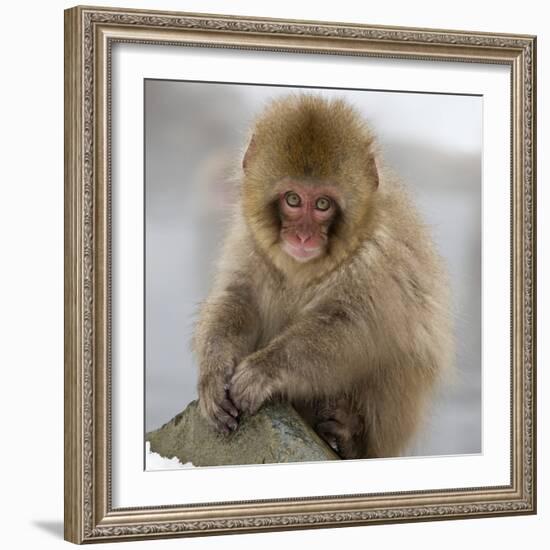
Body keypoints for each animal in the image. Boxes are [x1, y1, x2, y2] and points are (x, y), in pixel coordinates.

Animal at [192, 96, 454, 462]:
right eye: (292, 199)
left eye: (322, 204)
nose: (303, 237)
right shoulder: (249, 240)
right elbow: (237, 297)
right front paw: (214, 371)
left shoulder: (377, 258)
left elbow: (353, 329)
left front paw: (265, 369)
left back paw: (349, 437)